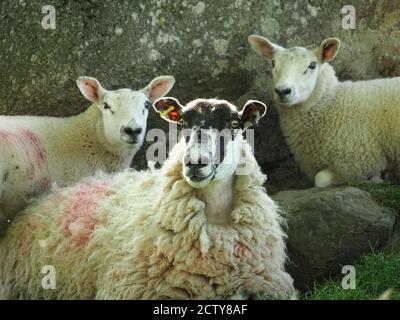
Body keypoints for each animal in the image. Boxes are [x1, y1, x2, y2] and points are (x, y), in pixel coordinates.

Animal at [247, 35, 400, 188]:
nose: (282, 91)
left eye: (312, 65)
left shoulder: (358, 162)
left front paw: (377, 178)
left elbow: (320, 179)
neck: (332, 104)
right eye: (273, 63)